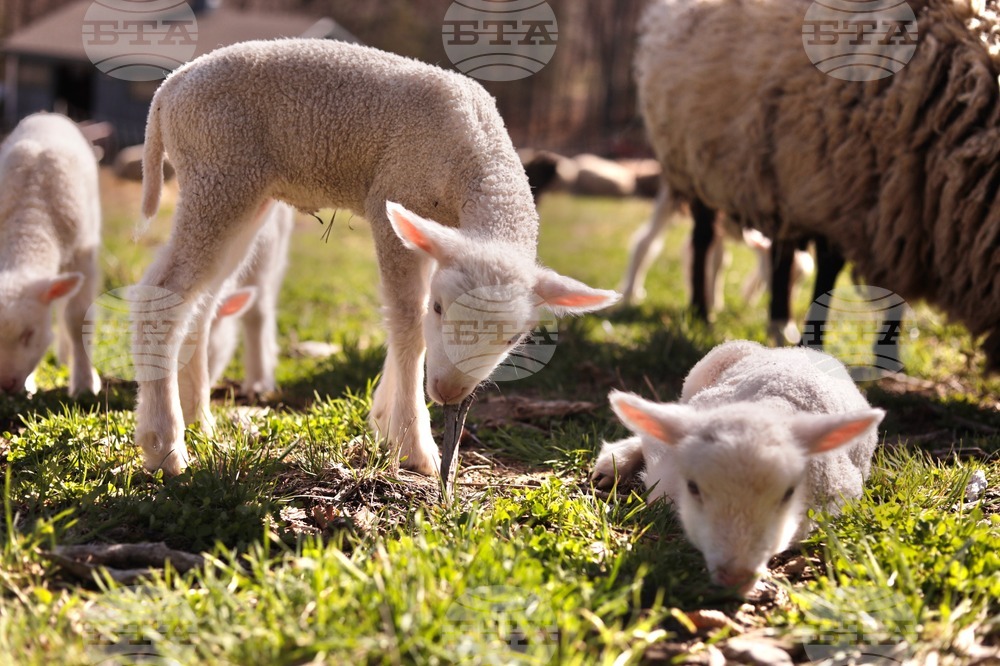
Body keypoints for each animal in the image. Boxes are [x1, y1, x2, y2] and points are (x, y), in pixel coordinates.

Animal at [0, 112, 101, 396]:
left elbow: (77, 318)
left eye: (29, 333)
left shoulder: (83, 255)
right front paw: (30, 384)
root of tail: (49, 114)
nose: (5, 385)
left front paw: (85, 384)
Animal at [635, 0, 1000, 371]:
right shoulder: (837, 194)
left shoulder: (901, 213)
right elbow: (828, 270)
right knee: (704, 239)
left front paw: (887, 357)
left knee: (780, 255)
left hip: (779, 180)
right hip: (697, 166)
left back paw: (779, 324)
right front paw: (815, 346)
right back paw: (701, 313)